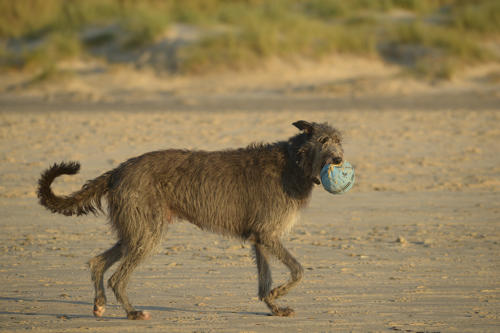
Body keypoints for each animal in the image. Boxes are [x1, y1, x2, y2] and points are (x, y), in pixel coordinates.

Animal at [38, 119, 344, 320]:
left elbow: (264, 280)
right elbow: (298, 270)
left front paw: (274, 304)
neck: (294, 161)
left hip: (135, 228)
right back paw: (132, 312)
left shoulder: (260, 238)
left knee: (98, 262)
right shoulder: (268, 233)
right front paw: (279, 294)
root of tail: (118, 170)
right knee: (117, 277)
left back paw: (99, 304)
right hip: (147, 230)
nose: (339, 160)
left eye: (340, 141)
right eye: (323, 140)